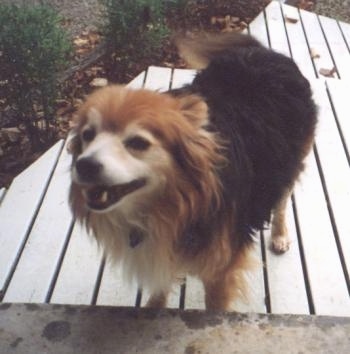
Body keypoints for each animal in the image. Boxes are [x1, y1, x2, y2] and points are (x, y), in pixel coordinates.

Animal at [69, 33, 318, 310]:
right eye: (88, 135)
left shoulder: (221, 271)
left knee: (282, 201)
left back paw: (279, 235)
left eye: (138, 143)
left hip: (289, 162)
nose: (84, 165)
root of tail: (265, 52)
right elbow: (161, 286)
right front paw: (152, 309)